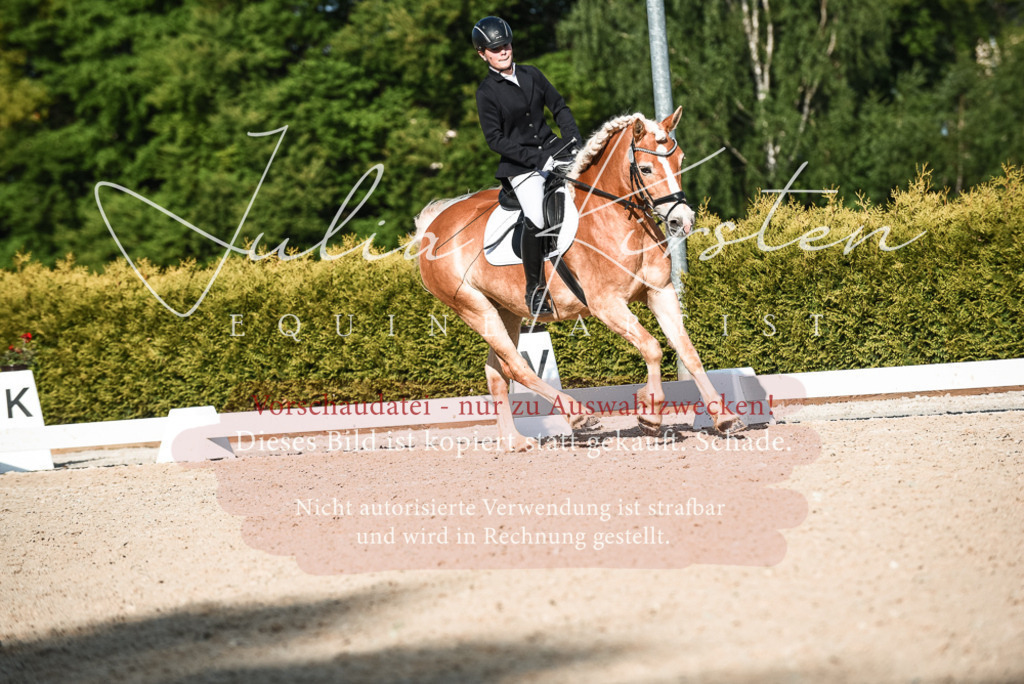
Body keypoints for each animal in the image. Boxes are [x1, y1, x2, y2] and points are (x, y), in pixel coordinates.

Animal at [414, 107, 744, 451]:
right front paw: (650, 415)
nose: (683, 220)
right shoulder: (607, 305)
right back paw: (579, 416)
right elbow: (653, 347)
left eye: (680, 161)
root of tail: (436, 222)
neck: (615, 218)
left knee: (497, 373)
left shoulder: (660, 292)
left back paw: (516, 442)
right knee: (517, 366)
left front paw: (724, 418)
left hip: (505, 311)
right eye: (645, 168)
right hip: (475, 309)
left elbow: (688, 352)